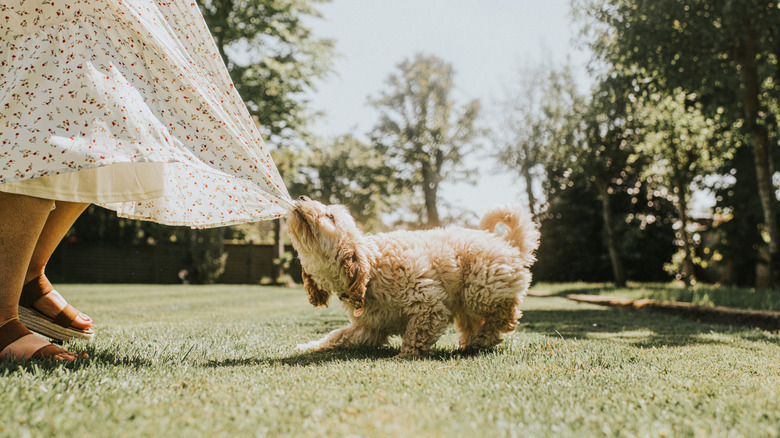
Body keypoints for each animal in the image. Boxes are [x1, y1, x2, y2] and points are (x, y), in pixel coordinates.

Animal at [288, 197, 544, 358]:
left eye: (329, 216)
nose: (300, 196)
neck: (372, 270)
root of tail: (510, 246)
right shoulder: (368, 328)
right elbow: (337, 336)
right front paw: (309, 346)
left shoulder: (429, 305)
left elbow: (416, 334)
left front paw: (403, 356)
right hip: (467, 305)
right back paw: (470, 343)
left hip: (479, 290)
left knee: (507, 314)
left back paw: (483, 339)